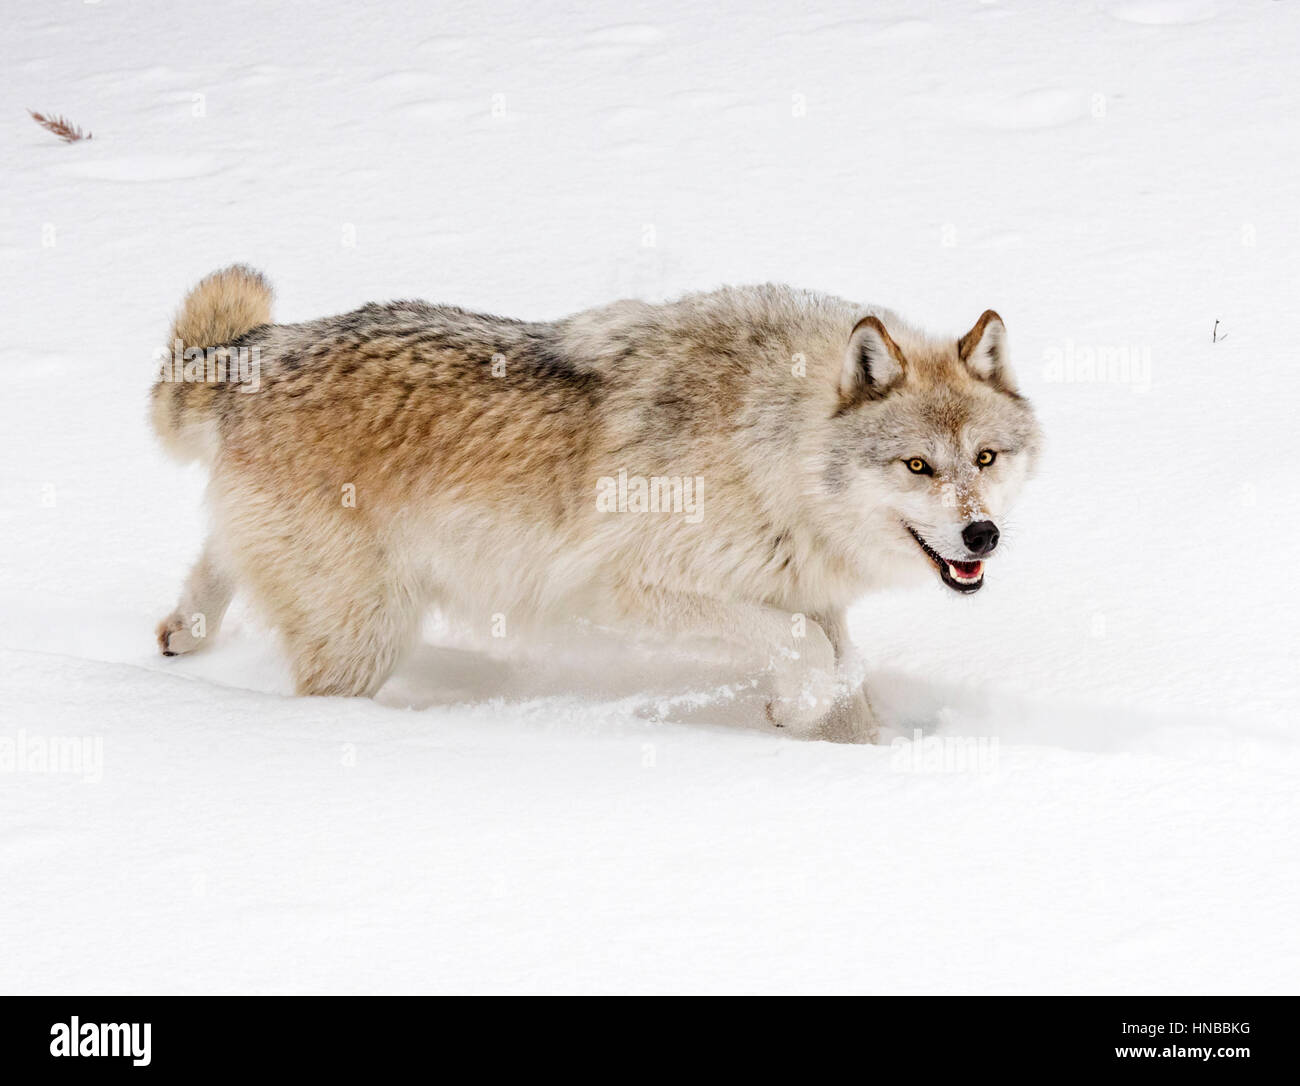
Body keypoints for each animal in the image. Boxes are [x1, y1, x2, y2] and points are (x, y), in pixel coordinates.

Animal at [151, 266, 1041, 742]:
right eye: (918, 464)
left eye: (985, 458)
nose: (982, 534)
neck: (769, 441)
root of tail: (261, 353)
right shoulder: (634, 589)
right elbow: (803, 651)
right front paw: (795, 709)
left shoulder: (811, 596)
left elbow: (840, 671)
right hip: (366, 634)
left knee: (212, 561)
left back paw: (179, 636)